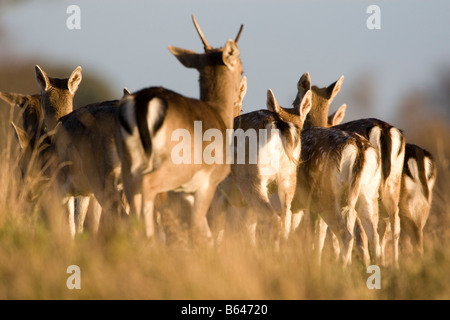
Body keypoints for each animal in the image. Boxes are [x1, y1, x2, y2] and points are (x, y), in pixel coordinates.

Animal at [114, 15, 244, 245]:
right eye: (242, 69)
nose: (239, 96)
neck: (219, 116)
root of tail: (143, 101)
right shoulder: (206, 184)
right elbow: (200, 229)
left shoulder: (187, 193)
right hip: (170, 169)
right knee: (148, 189)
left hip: (129, 167)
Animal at [296, 71, 408, 266]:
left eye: (295, 99)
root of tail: (383, 130)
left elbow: (319, 236)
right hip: (387, 185)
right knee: (390, 225)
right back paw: (390, 266)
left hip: (328, 196)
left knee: (351, 234)